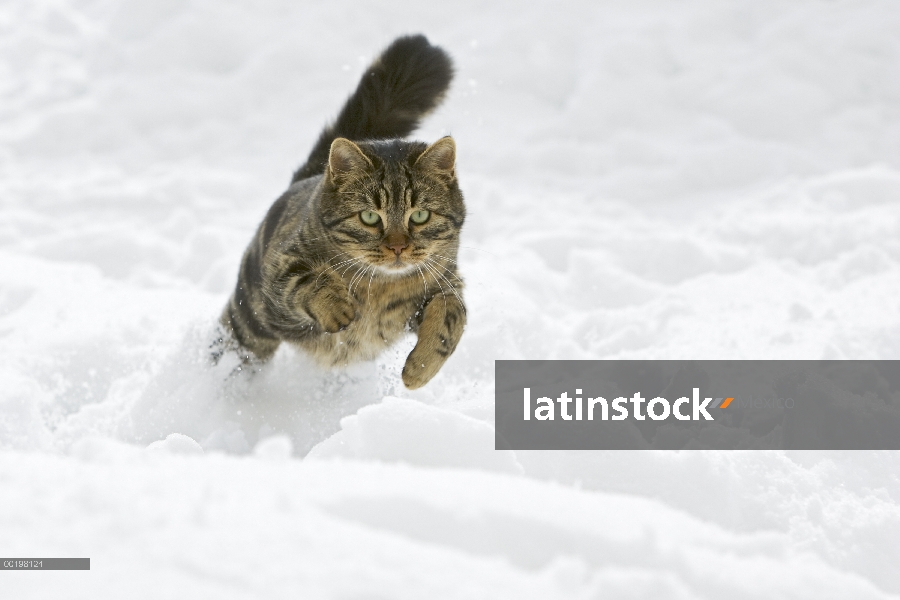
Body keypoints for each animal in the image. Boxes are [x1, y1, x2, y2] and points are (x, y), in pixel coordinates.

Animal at [216, 34, 464, 390]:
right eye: (369, 217)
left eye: (420, 216)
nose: (398, 247)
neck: (381, 286)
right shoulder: (279, 270)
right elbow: (307, 278)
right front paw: (336, 306)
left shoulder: (449, 282)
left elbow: (452, 316)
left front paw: (421, 368)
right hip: (249, 320)